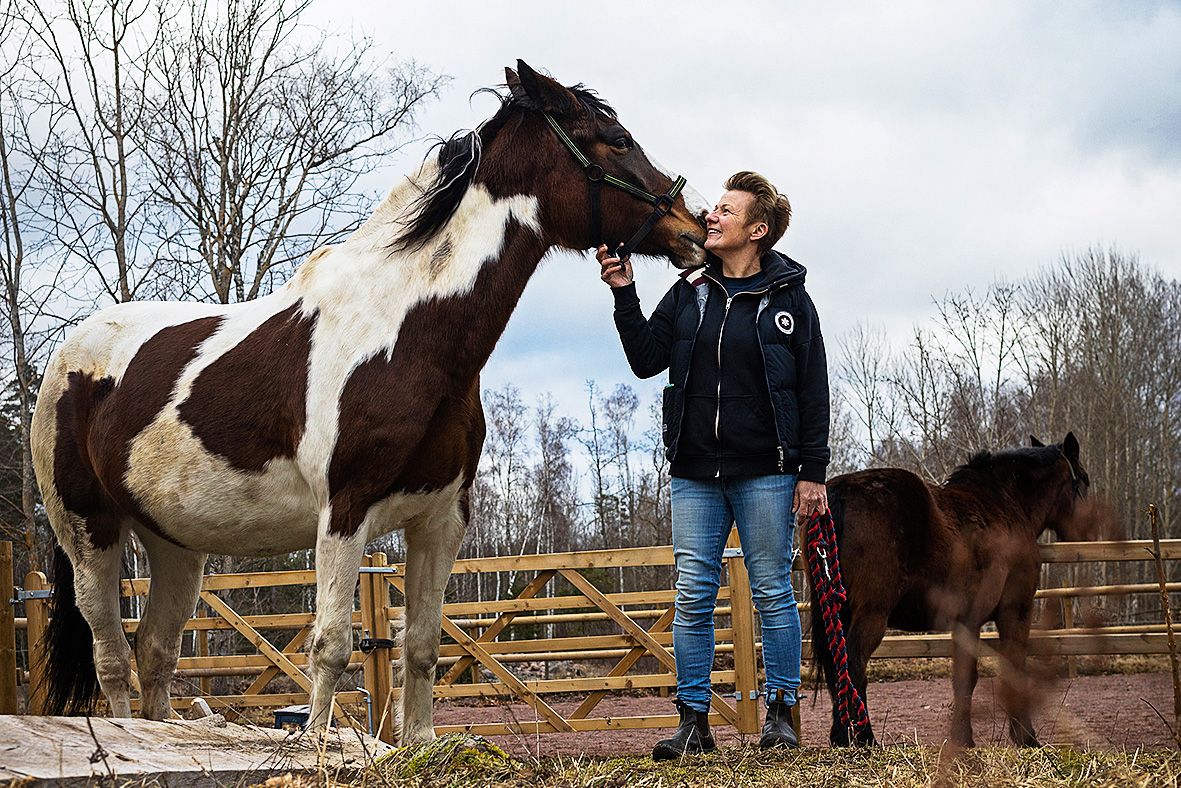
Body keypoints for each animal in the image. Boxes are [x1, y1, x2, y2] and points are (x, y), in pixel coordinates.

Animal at [29, 63, 708, 746]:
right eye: (616, 140)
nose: (697, 227)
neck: (406, 336)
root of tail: (68, 354)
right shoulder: (344, 513)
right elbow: (330, 645)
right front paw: (315, 745)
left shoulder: (441, 518)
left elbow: (423, 647)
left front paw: (419, 743)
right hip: (90, 533)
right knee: (112, 659)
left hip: (174, 543)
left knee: (156, 654)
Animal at [812, 434, 1095, 751]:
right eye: (1083, 479)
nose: (1088, 532)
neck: (1006, 502)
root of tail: (840, 494)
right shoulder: (1015, 612)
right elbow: (1012, 670)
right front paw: (1025, 737)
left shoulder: (966, 622)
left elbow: (963, 680)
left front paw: (962, 739)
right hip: (872, 613)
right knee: (854, 662)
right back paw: (864, 738)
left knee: (838, 664)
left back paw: (842, 736)